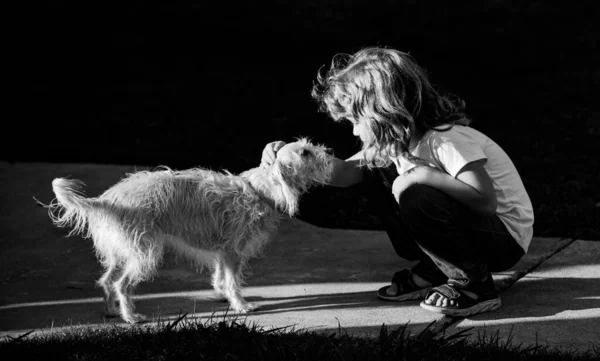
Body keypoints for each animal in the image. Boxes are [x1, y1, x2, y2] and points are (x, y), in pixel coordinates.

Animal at [43, 139, 332, 324]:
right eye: (305, 152)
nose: (329, 152)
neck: (260, 190)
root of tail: (107, 199)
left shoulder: (222, 252)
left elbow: (220, 277)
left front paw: (222, 296)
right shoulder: (233, 252)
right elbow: (233, 282)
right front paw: (241, 305)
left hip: (121, 251)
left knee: (106, 280)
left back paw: (112, 312)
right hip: (144, 252)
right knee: (121, 284)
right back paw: (131, 317)